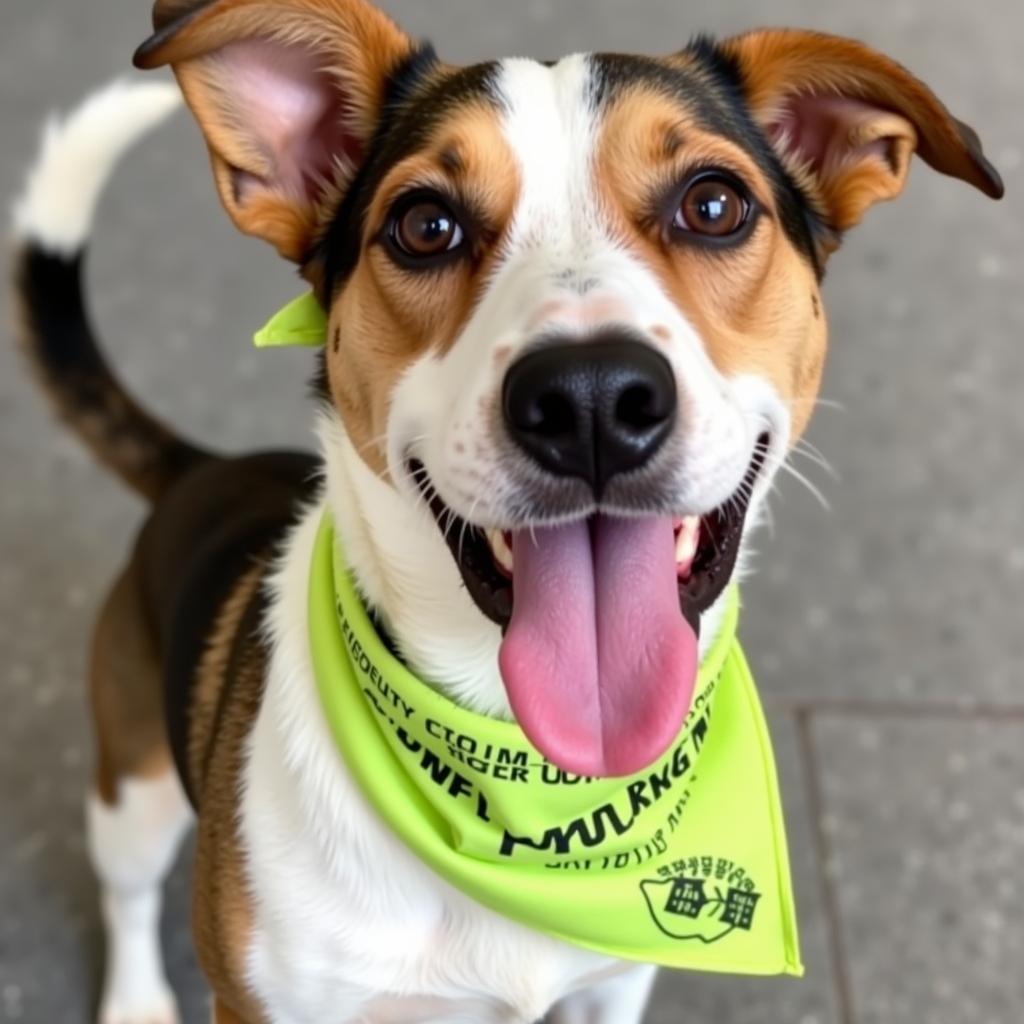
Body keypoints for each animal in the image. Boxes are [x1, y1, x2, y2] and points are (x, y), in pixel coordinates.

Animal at [9, 2, 999, 1024]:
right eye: (425, 224)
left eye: (715, 206)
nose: (591, 399)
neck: (529, 768)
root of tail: (203, 470)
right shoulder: (268, 1001)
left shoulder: (613, 982)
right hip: (133, 789)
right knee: (126, 894)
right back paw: (135, 997)